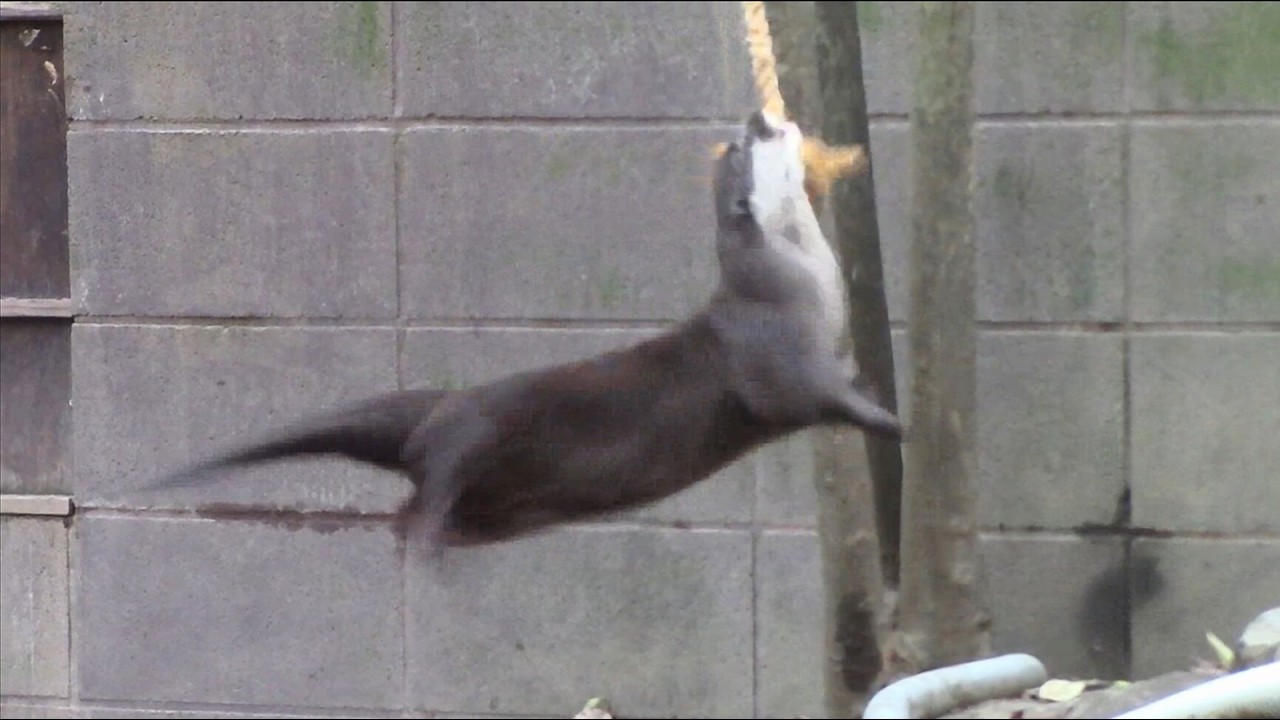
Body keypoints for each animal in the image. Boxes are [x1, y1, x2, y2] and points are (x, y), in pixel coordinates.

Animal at [139, 111, 903, 549]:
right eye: (745, 148)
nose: (756, 113)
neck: (792, 277)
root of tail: (440, 407)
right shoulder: (776, 355)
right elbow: (815, 398)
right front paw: (893, 421)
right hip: (471, 438)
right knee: (423, 494)